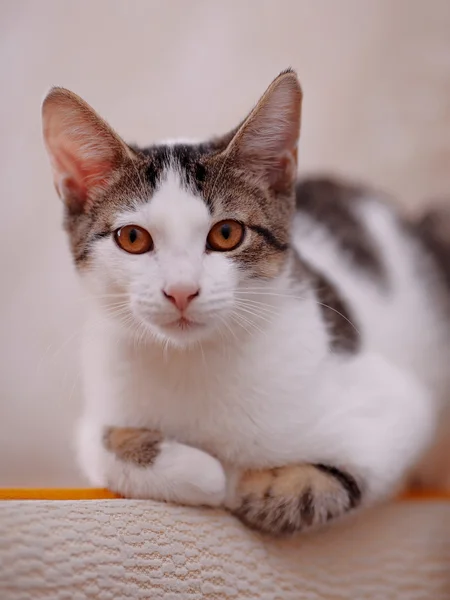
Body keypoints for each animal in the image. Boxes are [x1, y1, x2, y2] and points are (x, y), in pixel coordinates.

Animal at [42, 70, 450, 536]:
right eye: (132, 238)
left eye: (226, 234)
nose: (181, 290)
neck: (194, 361)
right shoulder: (101, 402)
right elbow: (99, 442)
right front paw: (202, 472)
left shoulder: (395, 407)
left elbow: (326, 483)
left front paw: (253, 486)